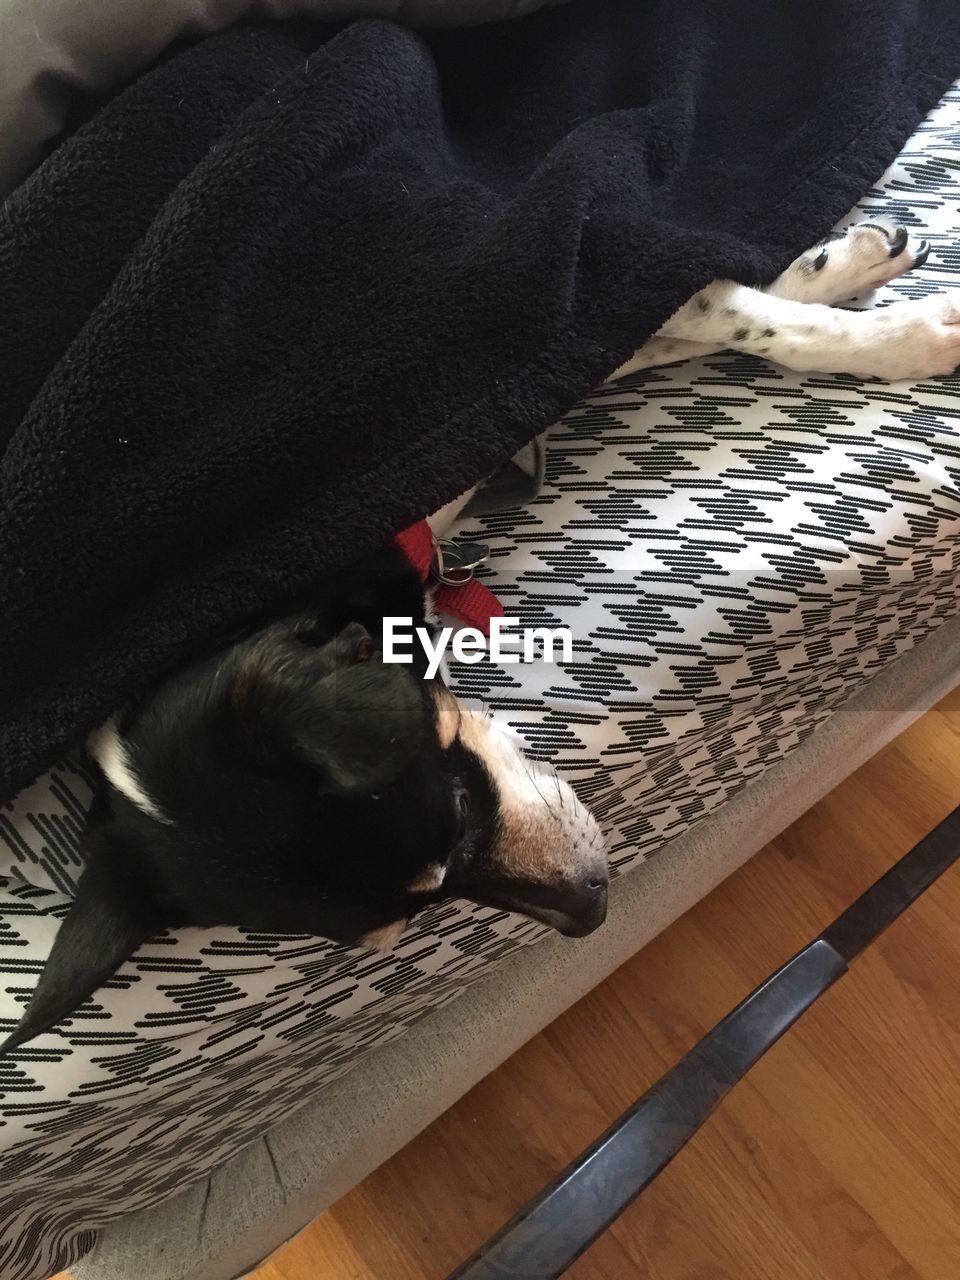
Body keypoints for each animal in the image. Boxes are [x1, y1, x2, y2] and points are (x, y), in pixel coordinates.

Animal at [1, 217, 957, 1049]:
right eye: (403, 917)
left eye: (458, 814)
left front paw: (893, 320)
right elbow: (676, 326)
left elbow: (711, 311)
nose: (591, 917)